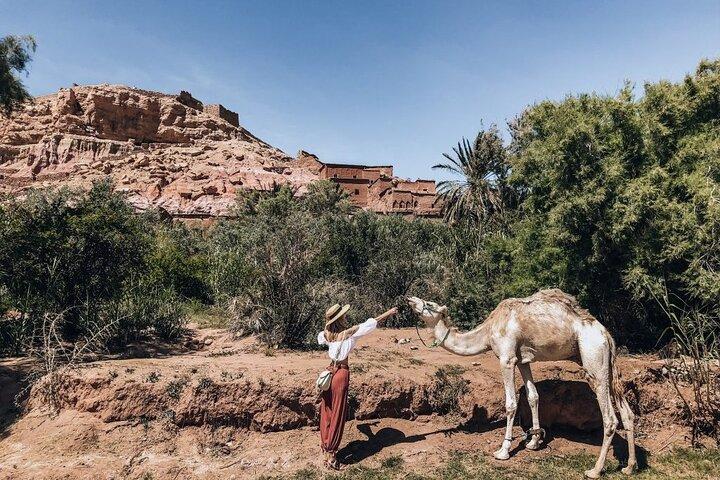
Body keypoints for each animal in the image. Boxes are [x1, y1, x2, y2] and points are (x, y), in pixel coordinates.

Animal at [407, 289, 636, 479]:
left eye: (429, 304)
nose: (409, 299)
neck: (488, 330)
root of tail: (606, 335)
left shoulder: (507, 358)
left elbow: (511, 404)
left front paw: (503, 451)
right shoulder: (523, 360)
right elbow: (533, 396)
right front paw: (534, 442)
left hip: (593, 359)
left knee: (610, 418)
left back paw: (595, 470)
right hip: (606, 364)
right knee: (627, 413)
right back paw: (629, 466)